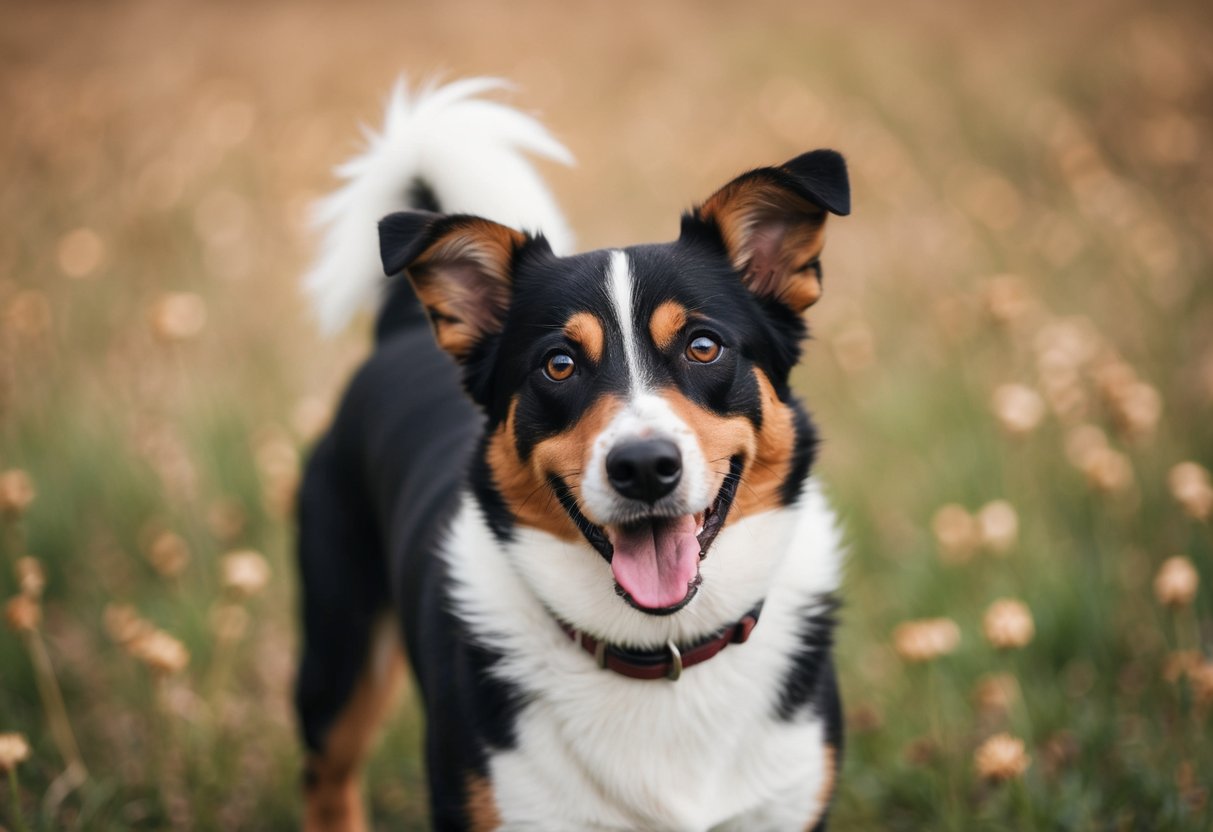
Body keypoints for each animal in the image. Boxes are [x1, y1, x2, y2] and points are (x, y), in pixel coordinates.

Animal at [294, 80, 849, 832]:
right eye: (558, 364)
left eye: (703, 346)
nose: (643, 468)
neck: (661, 651)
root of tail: (400, 331)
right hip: (336, 649)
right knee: (327, 775)